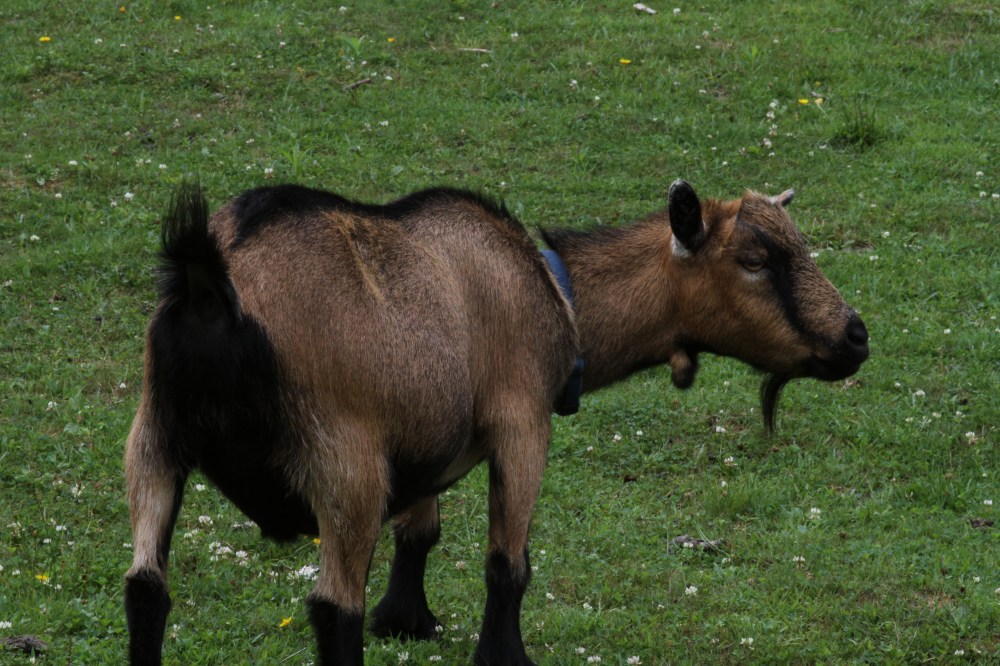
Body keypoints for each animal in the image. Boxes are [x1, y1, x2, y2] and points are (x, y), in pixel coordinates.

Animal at [124, 180, 868, 665]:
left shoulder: (421, 438)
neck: (556, 296)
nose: (856, 337)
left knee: (145, 589)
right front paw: (505, 658)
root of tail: (211, 285)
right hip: (343, 461)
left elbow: (421, 532)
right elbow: (508, 565)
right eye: (754, 261)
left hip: (154, 438)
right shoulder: (521, 424)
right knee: (333, 608)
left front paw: (409, 621)